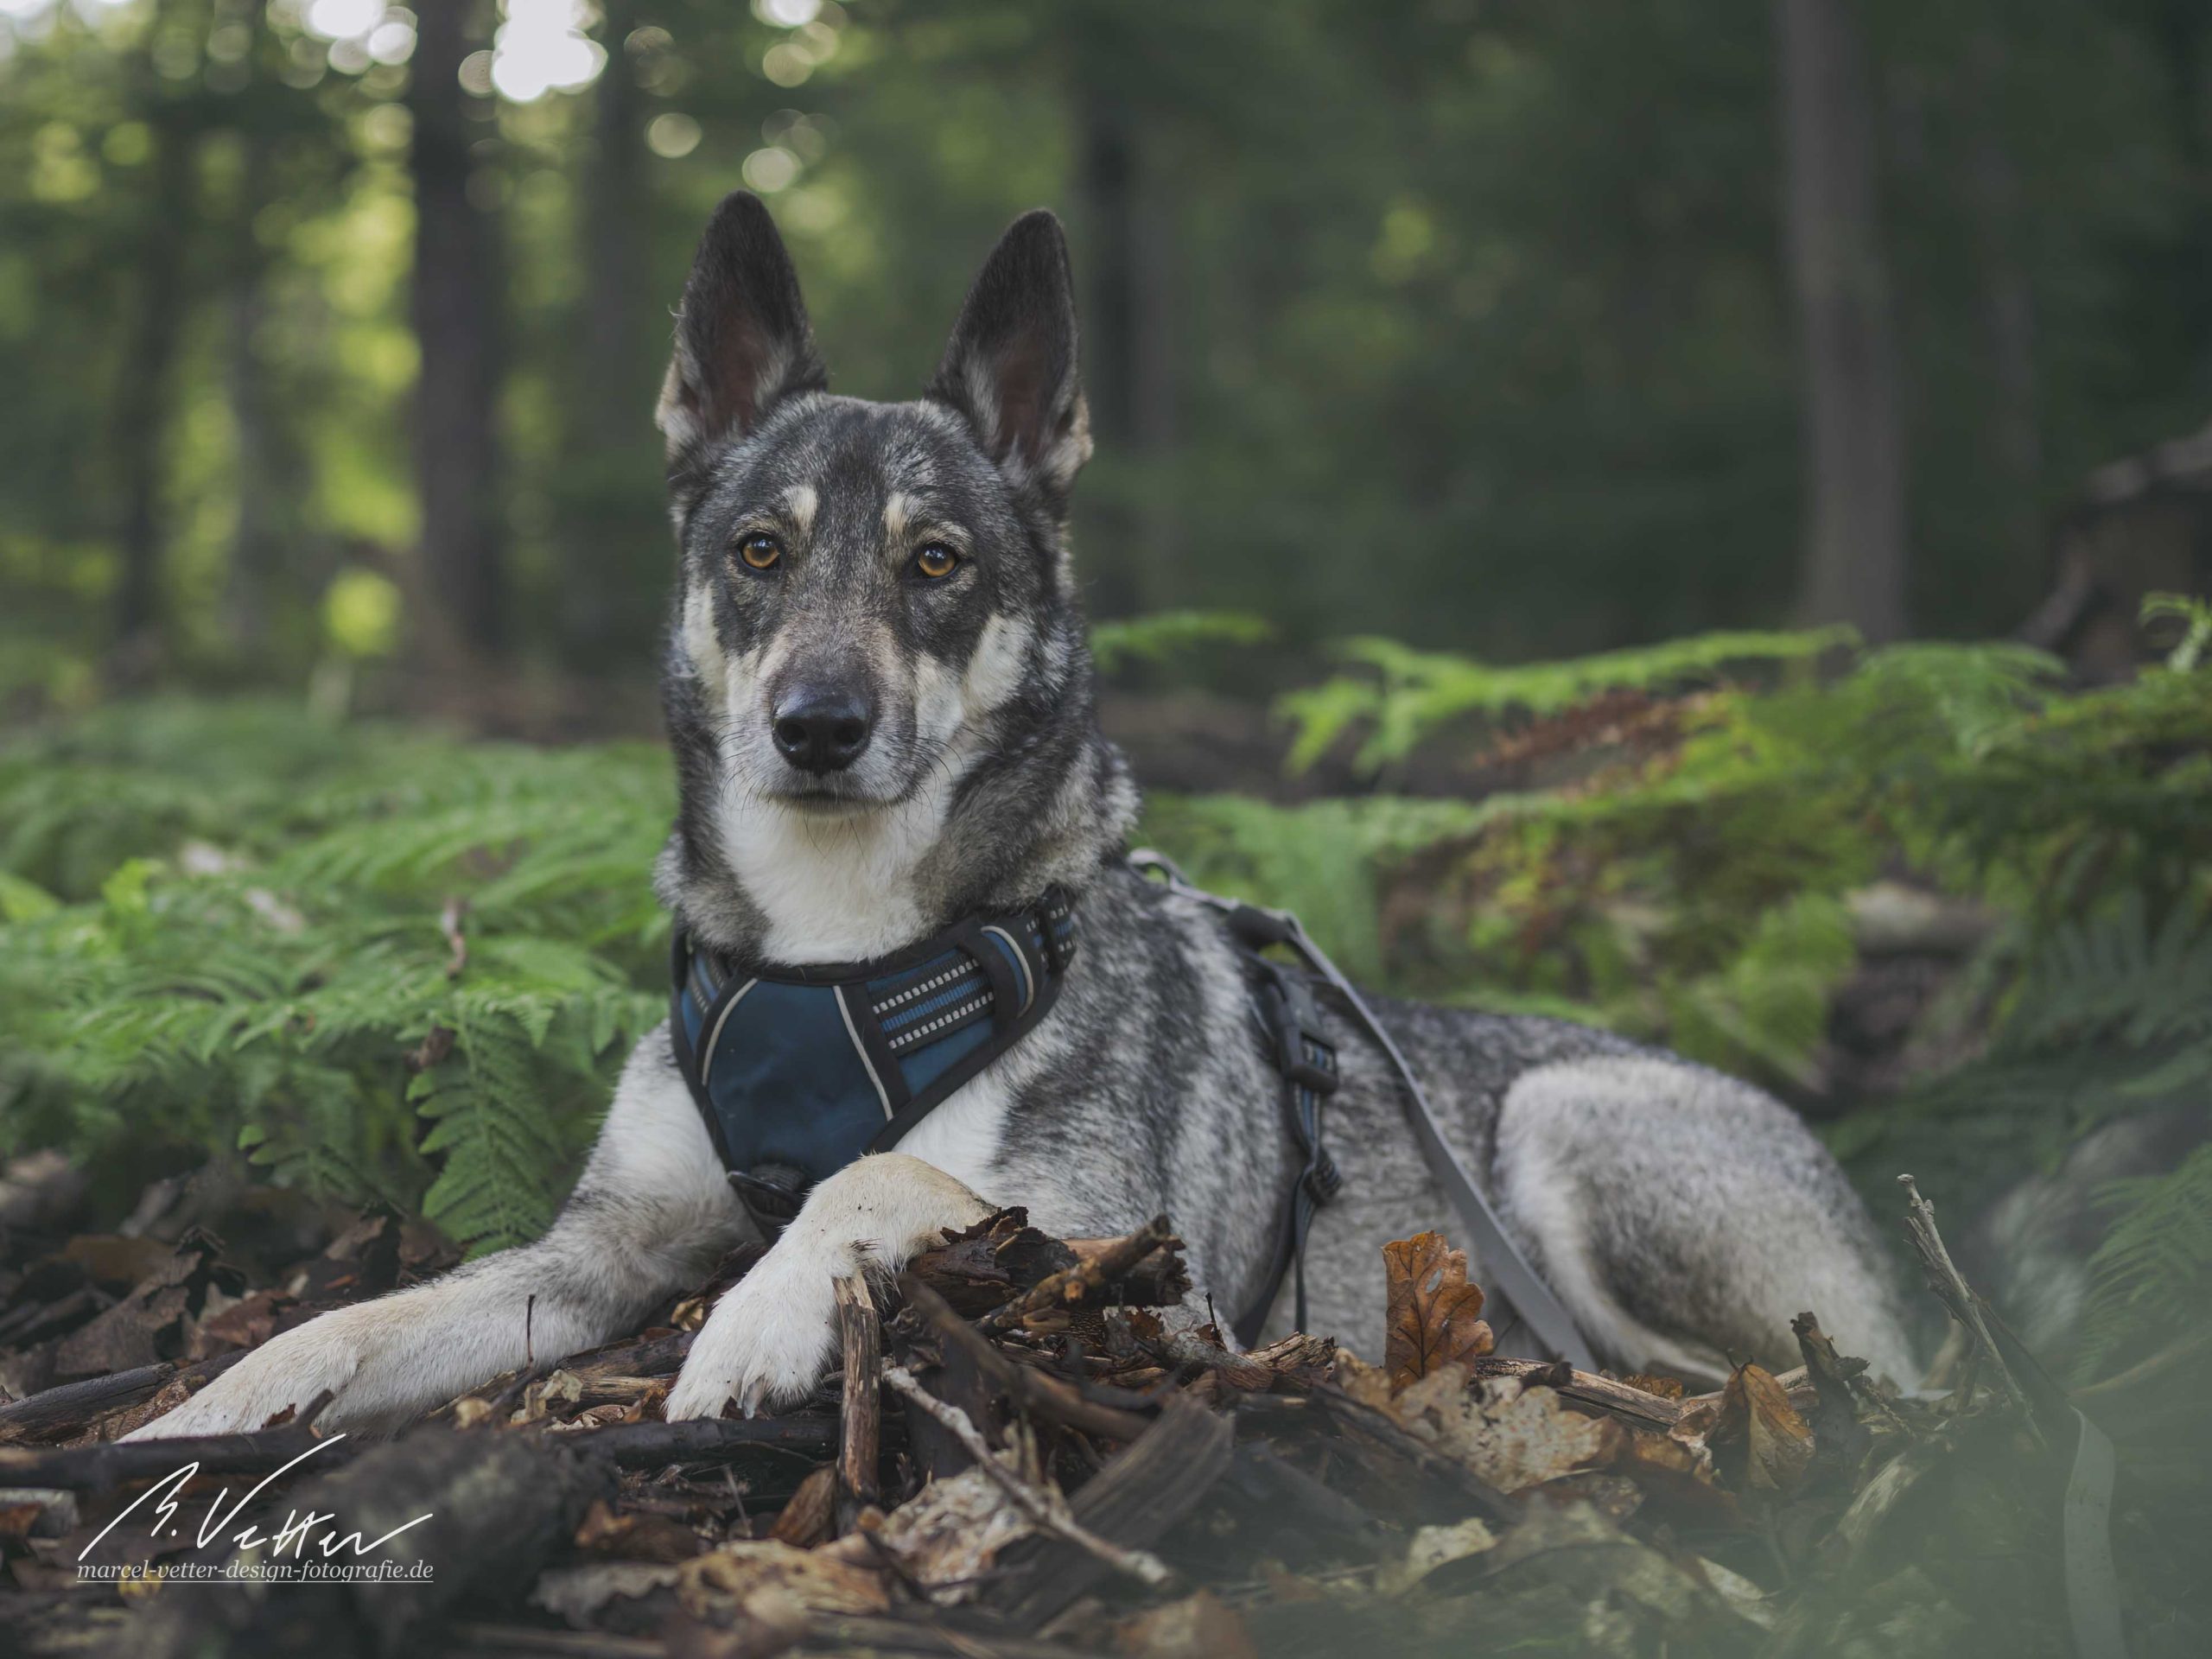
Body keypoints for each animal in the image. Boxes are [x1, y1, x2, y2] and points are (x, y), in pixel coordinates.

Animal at [125, 198, 1920, 1442]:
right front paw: (203, 1413)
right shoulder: (595, 1252)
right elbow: (361, 1321)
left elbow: (883, 1178)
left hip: (1570, 1139)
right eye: (760, 553)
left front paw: (756, 1323)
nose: (818, 728)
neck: (841, 956)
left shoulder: (1129, 1249)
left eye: (938, 563)